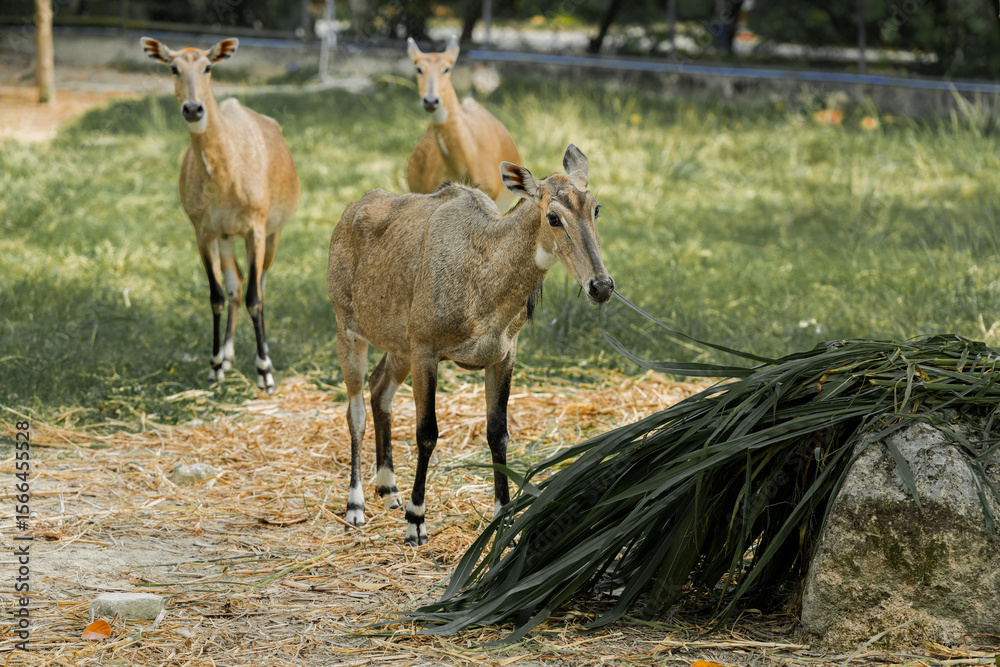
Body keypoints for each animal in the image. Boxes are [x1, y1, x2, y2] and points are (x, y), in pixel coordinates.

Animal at [140, 36, 300, 395]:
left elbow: (256, 297)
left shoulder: (256, 227)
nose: (193, 108)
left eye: (208, 66)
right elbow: (215, 294)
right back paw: (226, 356)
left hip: (273, 233)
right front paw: (214, 366)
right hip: (226, 237)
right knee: (235, 284)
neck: (225, 180)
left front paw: (265, 373)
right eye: (173, 67)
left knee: (259, 285)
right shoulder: (203, 230)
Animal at [327, 144, 614, 545]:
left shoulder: (503, 355)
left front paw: (504, 519)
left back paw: (389, 489)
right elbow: (427, 433)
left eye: (595, 208)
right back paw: (355, 507)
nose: (600, 286)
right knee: (355, 411)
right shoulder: (426, 349)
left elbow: (498, 434)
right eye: (553, 217)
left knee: (379, 388)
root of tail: (349, 212)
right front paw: (416, 523)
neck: (482, 286)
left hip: (398, 345)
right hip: (349, 328)